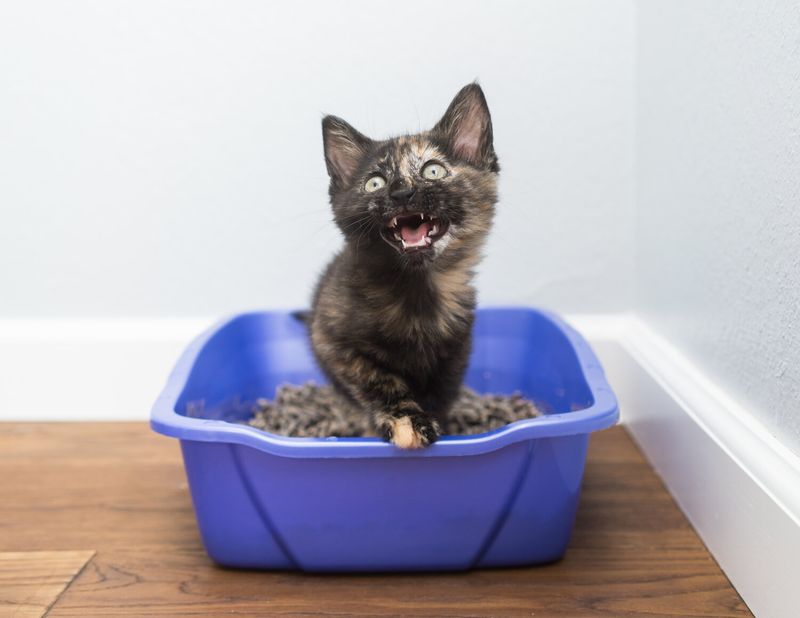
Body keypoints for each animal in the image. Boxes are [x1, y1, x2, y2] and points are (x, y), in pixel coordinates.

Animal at [310, 82, 496, 448]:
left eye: (433, 171)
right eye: (375, 183)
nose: (400, 193)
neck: (417, 290)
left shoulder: (456, 350)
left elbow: (442, 394)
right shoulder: (330, 340)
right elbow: (378, 380)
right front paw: (407, 421)